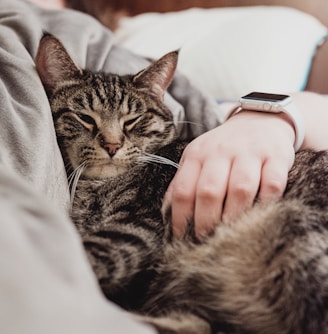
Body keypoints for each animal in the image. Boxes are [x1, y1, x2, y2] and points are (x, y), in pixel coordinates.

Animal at [36, 34, 328, 334]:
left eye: (132, 120)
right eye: (84, 117)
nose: (112, 145)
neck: (95, 187)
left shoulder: (137, 226)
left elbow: (84, 254)